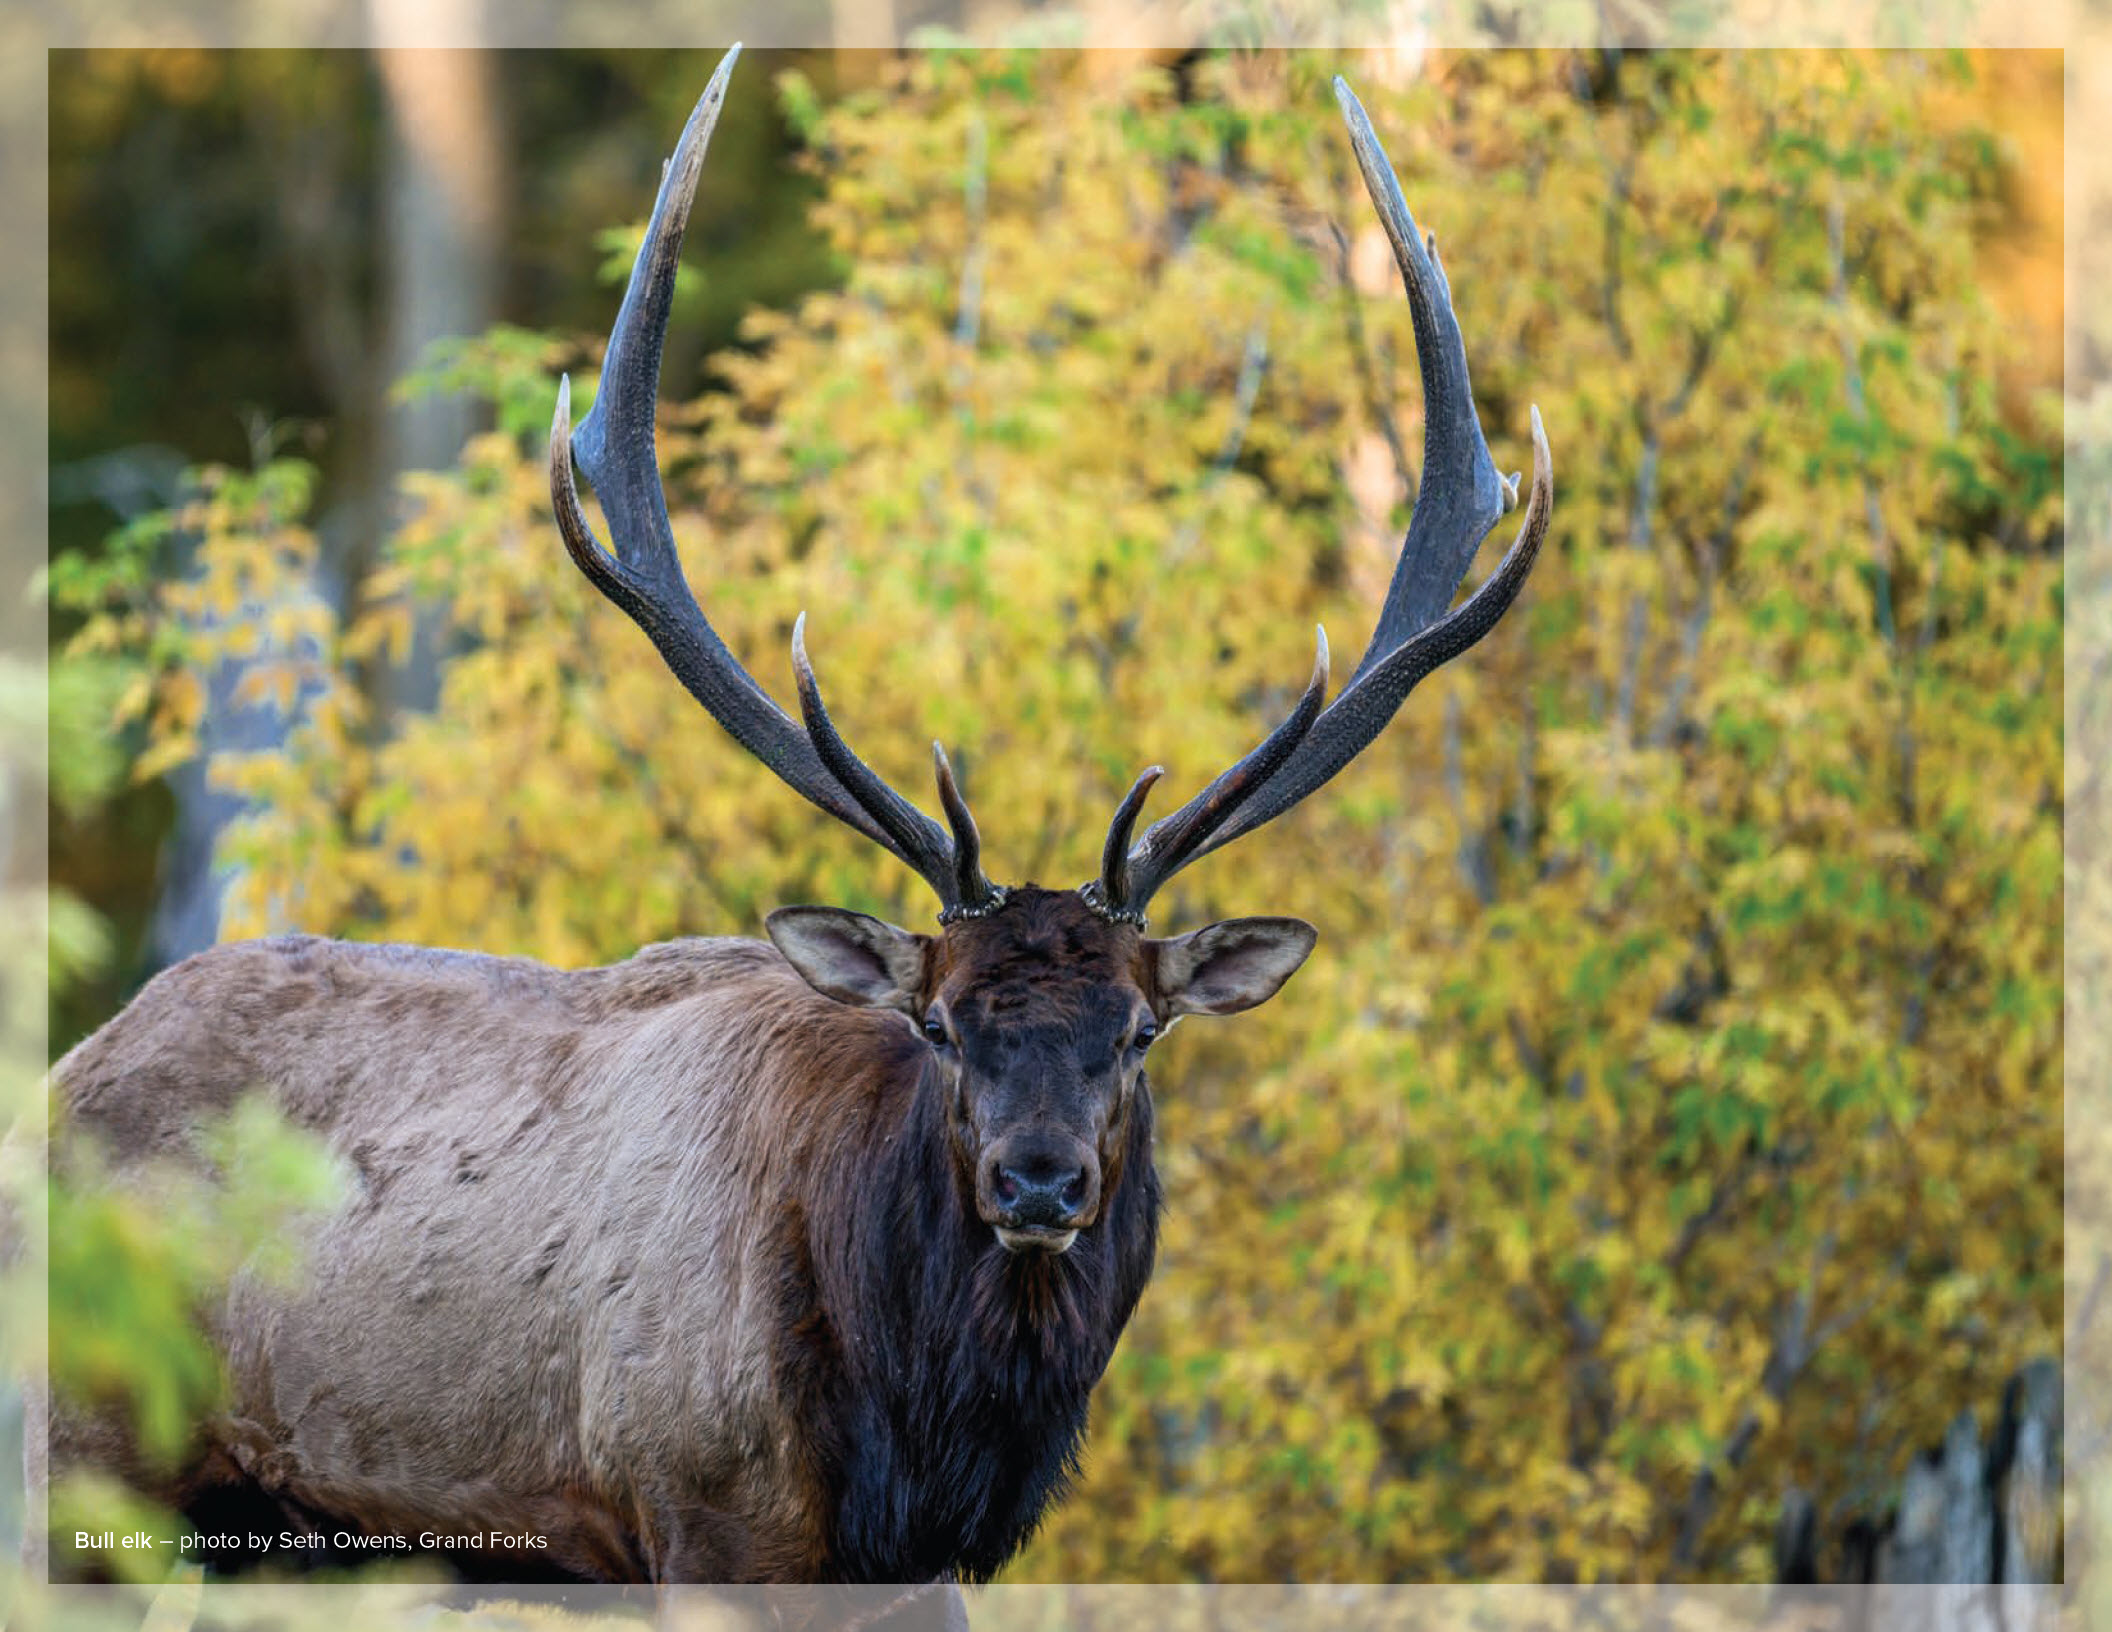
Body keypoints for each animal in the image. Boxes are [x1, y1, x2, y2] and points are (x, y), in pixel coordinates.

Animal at [41, 47, 1545, 1587]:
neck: (913, 1443)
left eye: (1139, 1031)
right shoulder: (700, 1508)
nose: (1040, 1183)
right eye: (937, 1026)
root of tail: (61, 1077)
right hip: (91, 1454)